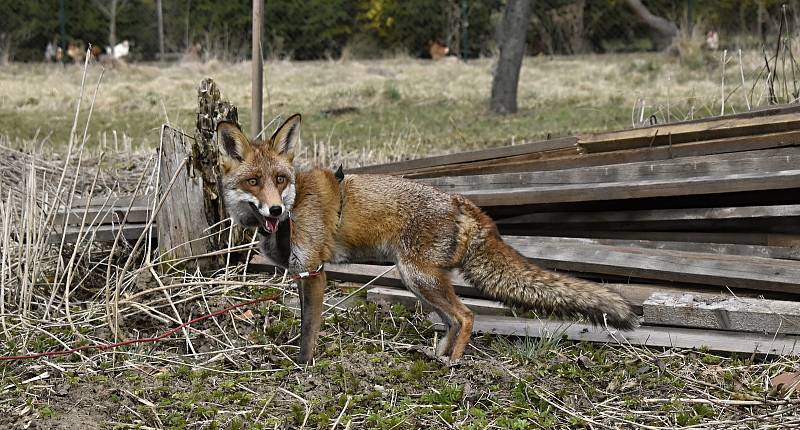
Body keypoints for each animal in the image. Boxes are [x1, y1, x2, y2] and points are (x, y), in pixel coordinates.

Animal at [216, 113, 636, 362]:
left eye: (280, 180)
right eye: (253, 182)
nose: (274, 210)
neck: (294, 208)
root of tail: (461, 201)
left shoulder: (315, 272)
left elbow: (308, 331)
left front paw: (303, 365)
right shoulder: (301, 273)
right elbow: (304, 322)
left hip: (418, 276)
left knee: (466, 316)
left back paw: (452, 363)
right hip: (417, 281)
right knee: (452, 320)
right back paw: (438, 354)